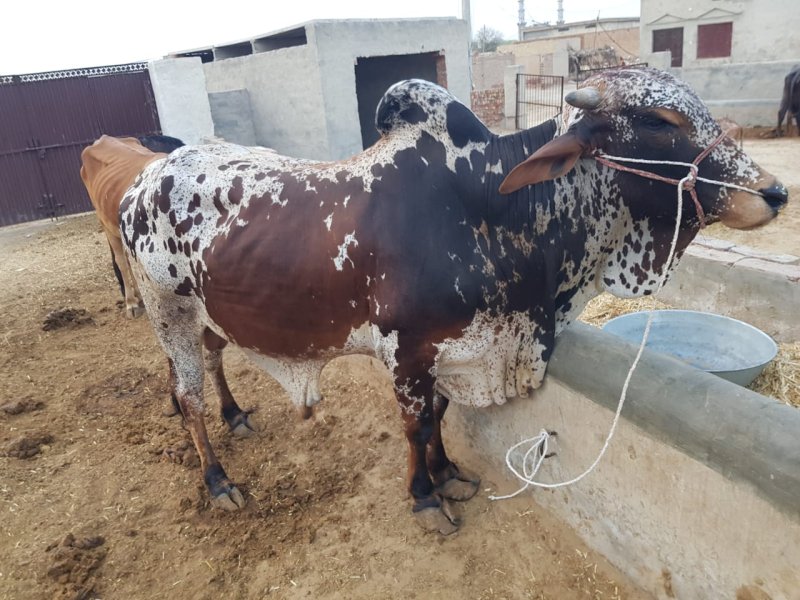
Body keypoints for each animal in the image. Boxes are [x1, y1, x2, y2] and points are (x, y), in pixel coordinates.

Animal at [119, 68, 787, 535]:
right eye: (658, 119)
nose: (775, 192)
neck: (489, 206)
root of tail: (145, 177)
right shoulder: (405, 351)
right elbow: (417, 424)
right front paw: (424, 496)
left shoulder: (455, 348)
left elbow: (441, 414)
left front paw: (448, 474)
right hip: (166, 312)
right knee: (186, 396)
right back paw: (217, 479)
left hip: (206, 316)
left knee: (212, 364)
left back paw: (235, 415)